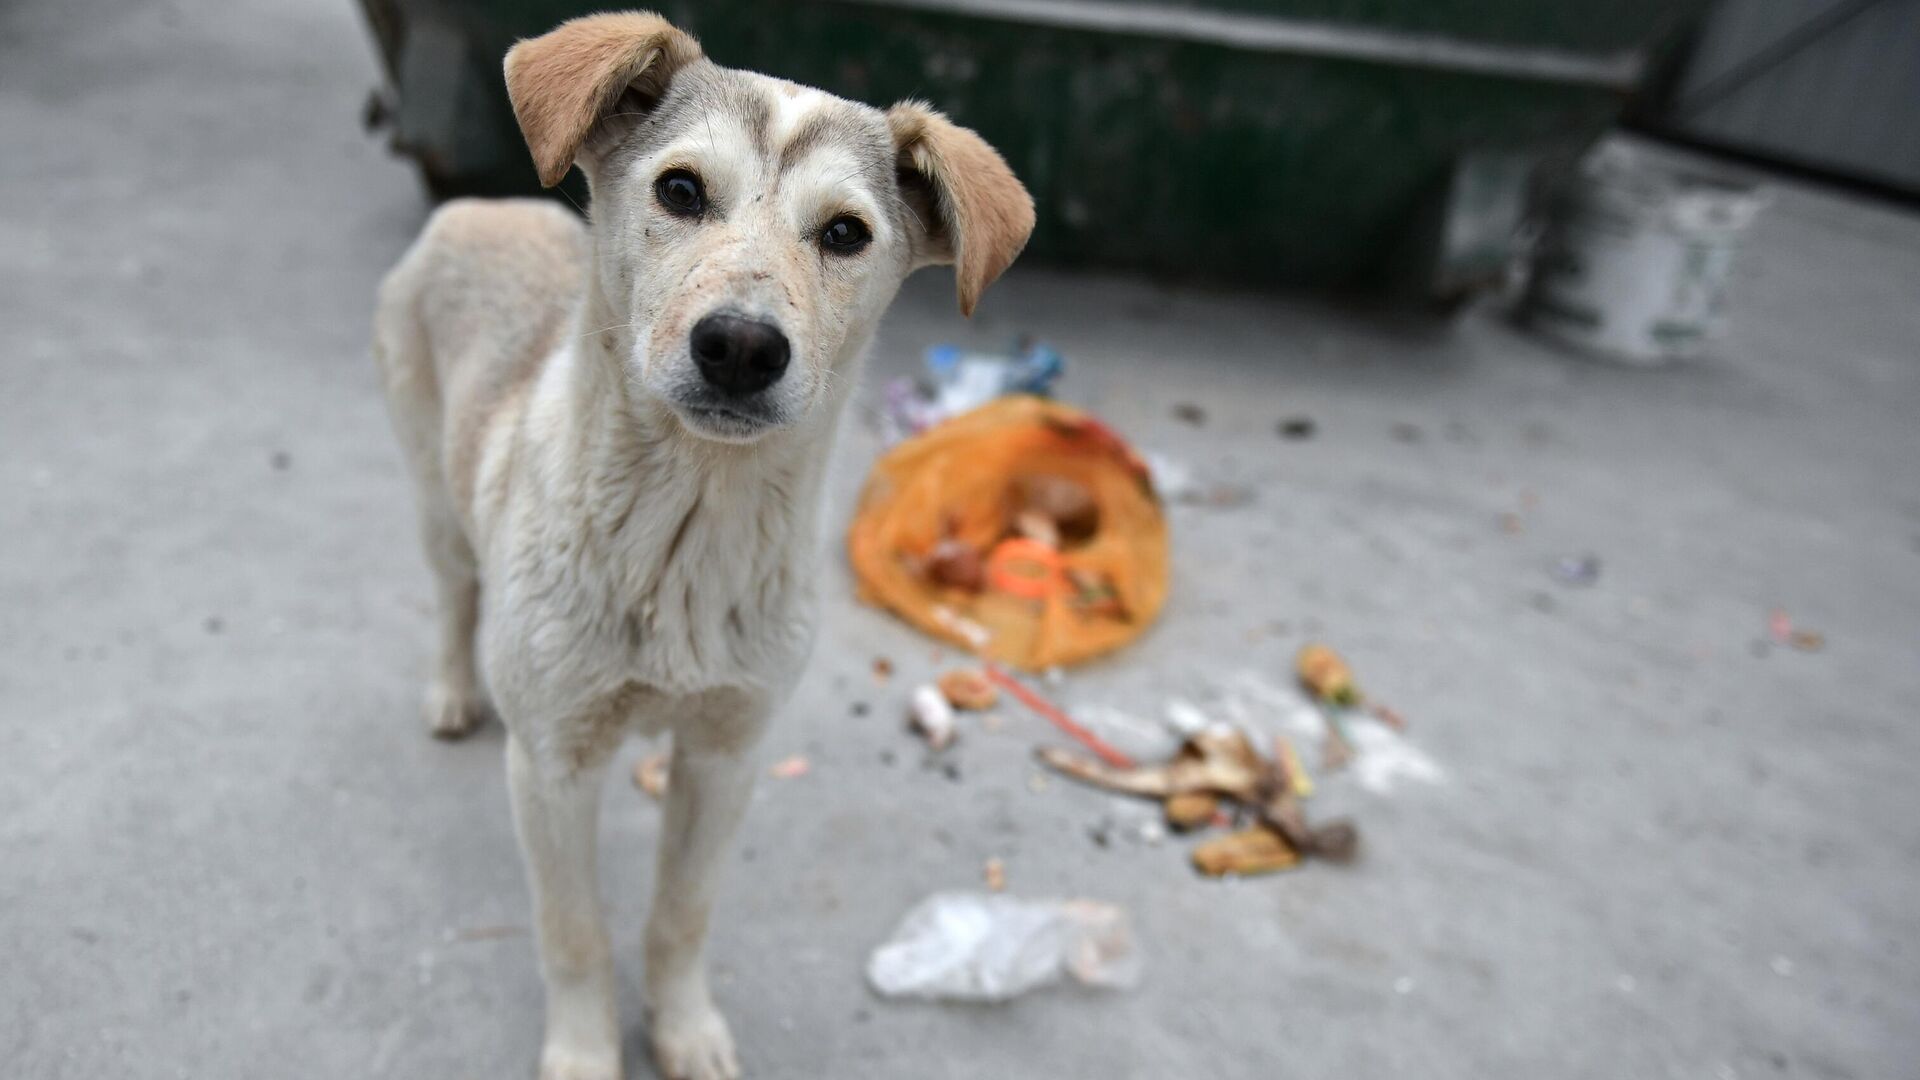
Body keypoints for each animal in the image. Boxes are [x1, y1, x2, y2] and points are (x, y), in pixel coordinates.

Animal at [374, 8, 1036, 1076]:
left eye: (845, 233)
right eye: (680, 190)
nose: (740, 347)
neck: (684, 529)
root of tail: (475, 202)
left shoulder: (727, 754)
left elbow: (680, 916)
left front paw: (685, 1031)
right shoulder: (552, 763)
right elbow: (574, 932)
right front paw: (585, 1054)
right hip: (434, 496)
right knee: (452, 593)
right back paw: (451, 689)